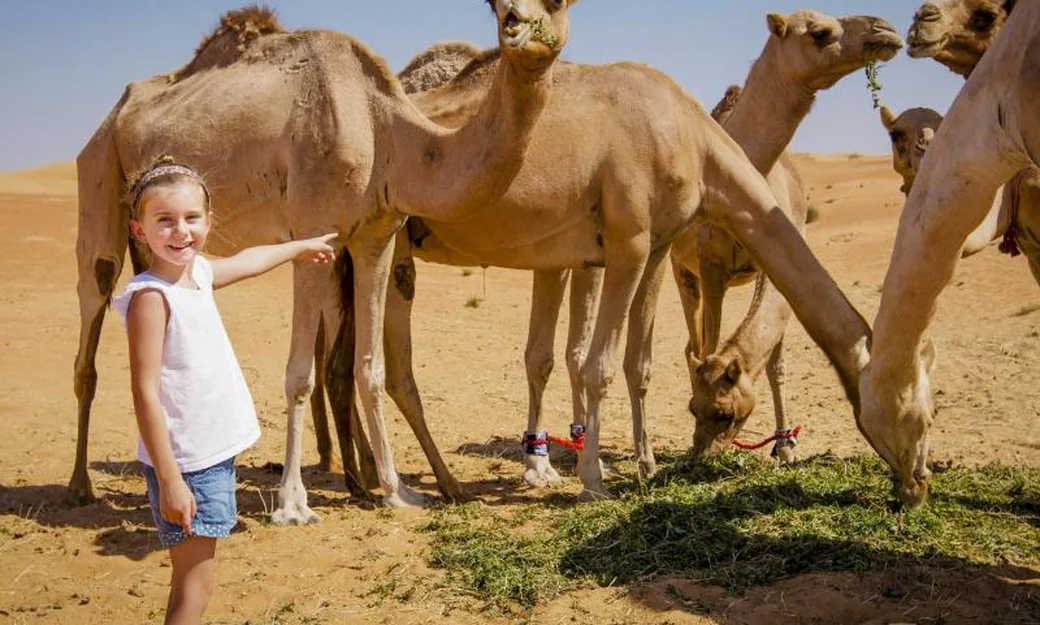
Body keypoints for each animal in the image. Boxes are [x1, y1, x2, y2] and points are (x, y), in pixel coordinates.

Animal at [70, 0, 577, 521]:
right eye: (496, 10)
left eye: (558, 4)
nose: (517, 23)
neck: (384, 128)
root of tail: (112, 115)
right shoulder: (313, 235)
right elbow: (300, 375)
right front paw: (293, 503)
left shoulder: (378, 236)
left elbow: (370, 369)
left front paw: (397, 490)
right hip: (100, 174)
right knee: (92, 317)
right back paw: (79, 486)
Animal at [341, 10, 902, 499]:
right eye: (820, 32)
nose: (887, 29)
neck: (695, 139)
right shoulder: (630, 246)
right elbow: (597, 364)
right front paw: (590, 476)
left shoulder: (650, 251)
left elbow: (629, 361)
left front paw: (640, 464)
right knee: (382, 366)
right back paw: (402, 484)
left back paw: (386, 478)